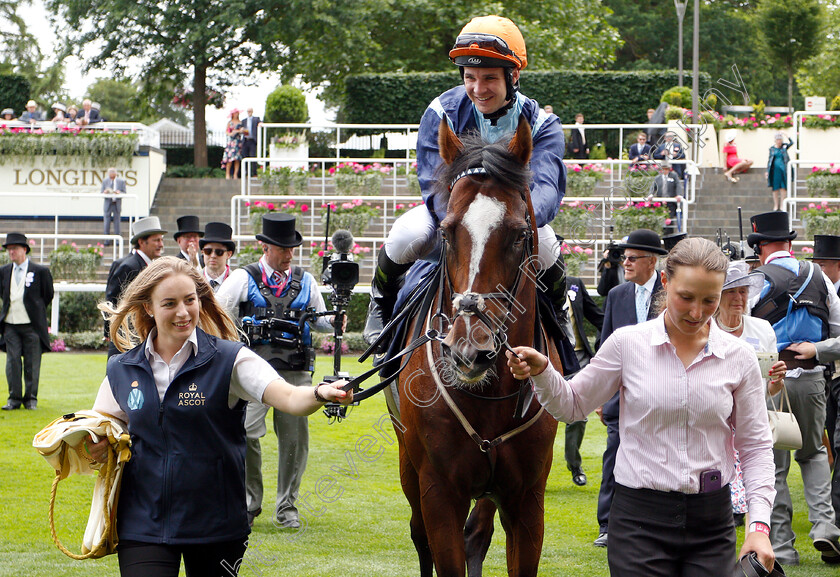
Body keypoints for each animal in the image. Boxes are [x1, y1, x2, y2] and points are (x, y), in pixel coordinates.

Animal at [390, 117, 560, 576]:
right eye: (448, 232)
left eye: (519, 235)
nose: (469, 351)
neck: (489, 396)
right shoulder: (437, 491)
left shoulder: (527, 499)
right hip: (408, 465)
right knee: (419, 539)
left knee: (477, 536)